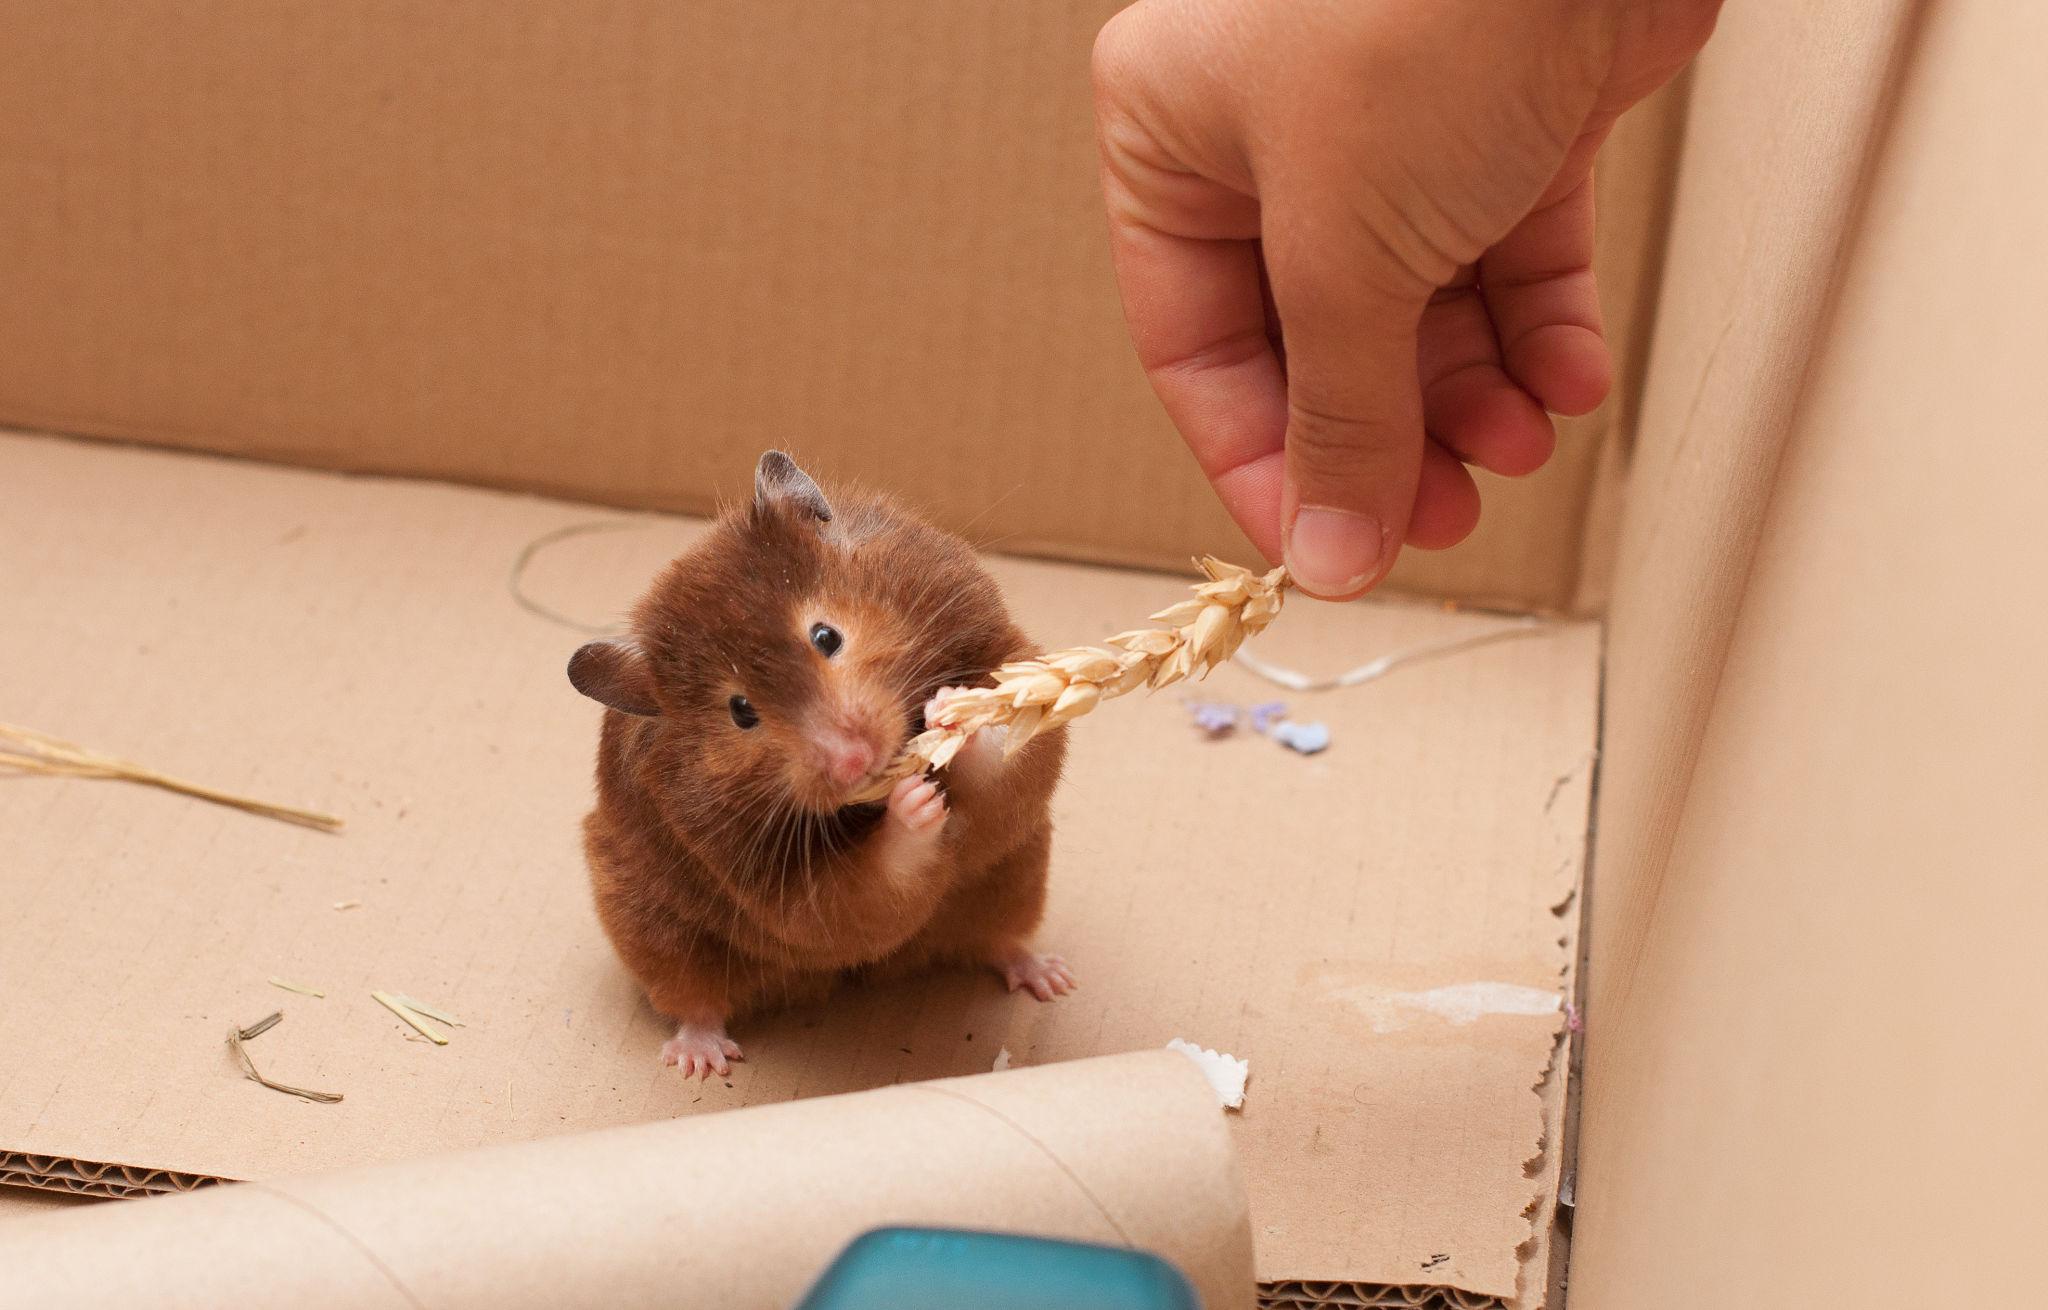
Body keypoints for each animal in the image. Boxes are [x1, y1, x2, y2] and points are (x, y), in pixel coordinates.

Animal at [568, 451, 1072, 1078]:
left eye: (826, 635)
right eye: (740, 711)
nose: (856, 761)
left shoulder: (1005, 665)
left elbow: (1011, 758)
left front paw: (952, 711)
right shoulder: (782, 889)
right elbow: (871, 881)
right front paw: (917, 804)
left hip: (1018, 872)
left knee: (1000, 940)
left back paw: (1051, 979)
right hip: (649, 922)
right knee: (696, 1001)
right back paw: (700, 1060)